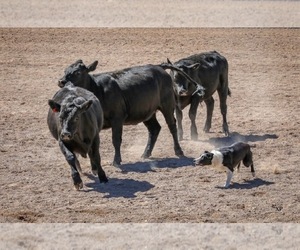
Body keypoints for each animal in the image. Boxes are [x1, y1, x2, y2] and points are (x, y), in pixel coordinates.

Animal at [58, 59, 204, 167]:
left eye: (77, 72)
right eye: (65, 70)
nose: (61, 81)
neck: (98, 89)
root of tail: (158, 67)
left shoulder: (117, 119)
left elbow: (116, 140)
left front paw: (116, 160)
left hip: (167, 105)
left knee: (172, 126)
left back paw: (178, 150)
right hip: (148, 112)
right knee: (154, 129)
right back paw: (146, 153)